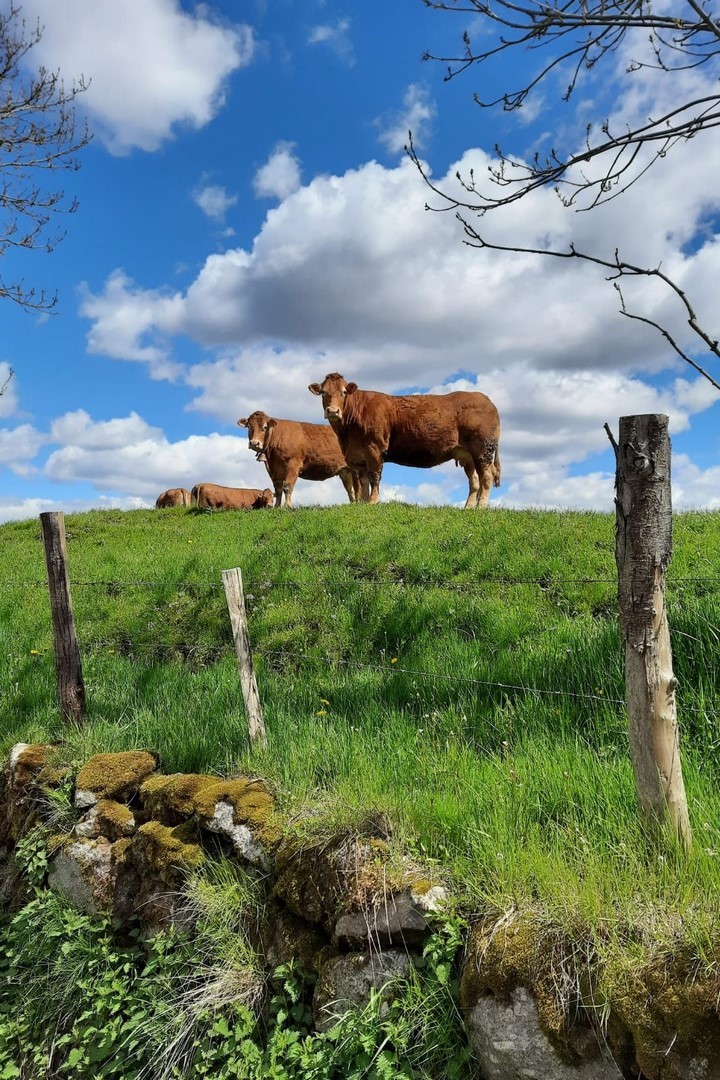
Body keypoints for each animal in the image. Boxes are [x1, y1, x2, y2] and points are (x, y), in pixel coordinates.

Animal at [306, 373, 500, 507]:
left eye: (344, 392)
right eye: (323, 393)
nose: (333, 411)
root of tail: (487, 400)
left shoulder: (374, 448)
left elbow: (374, 476)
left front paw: (373, 501)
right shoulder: (358, 456)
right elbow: (363, 481)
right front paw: (363, 503)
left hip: (482, 449)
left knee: (486, 477)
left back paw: (481, 507)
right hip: (467, 455)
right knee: (474, 481)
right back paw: (469, 508)